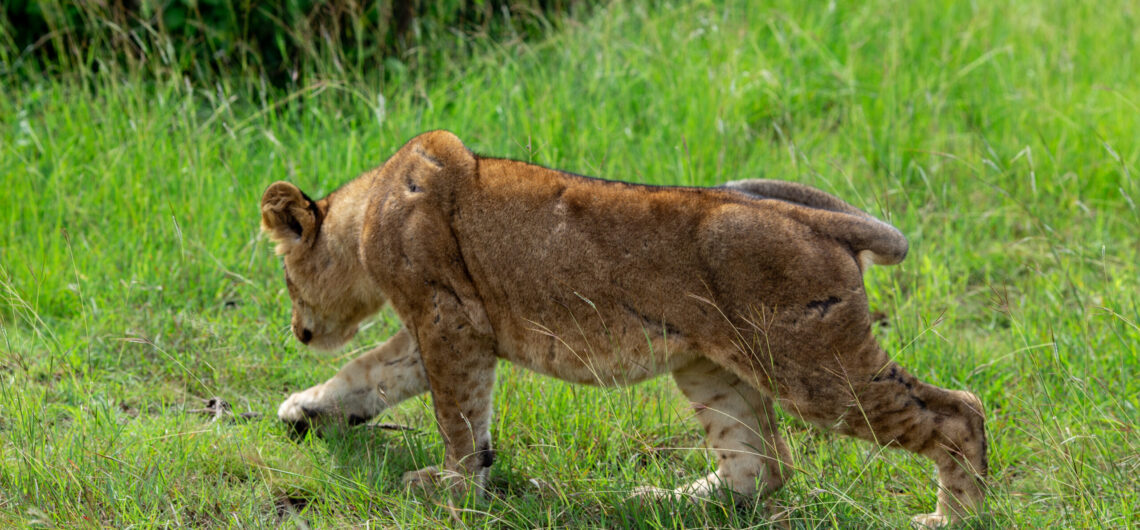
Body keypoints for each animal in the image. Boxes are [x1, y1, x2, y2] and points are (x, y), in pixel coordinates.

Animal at [261, 130, 987, 527]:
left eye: (288, 281)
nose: (299, 333)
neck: (369, 208)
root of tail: (816, 220)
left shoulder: (449, 321)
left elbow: (457, 419)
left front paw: (454, 490)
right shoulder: (442, 327)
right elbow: (367, 374)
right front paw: (304, 410)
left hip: (814, 370)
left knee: (960, 412)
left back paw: (952, 518)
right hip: (709, 364)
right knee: (762, 467)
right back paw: (664, 498)